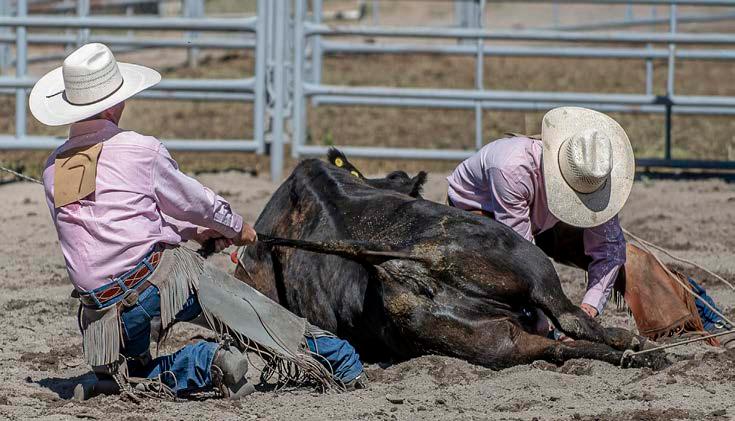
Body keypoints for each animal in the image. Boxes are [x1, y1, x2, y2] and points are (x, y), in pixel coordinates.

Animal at [233, 150, 668, 370]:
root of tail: (408, 264)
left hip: (499, 338)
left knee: (557, 342)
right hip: (535, 275)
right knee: (569, 323)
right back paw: (640, 349)